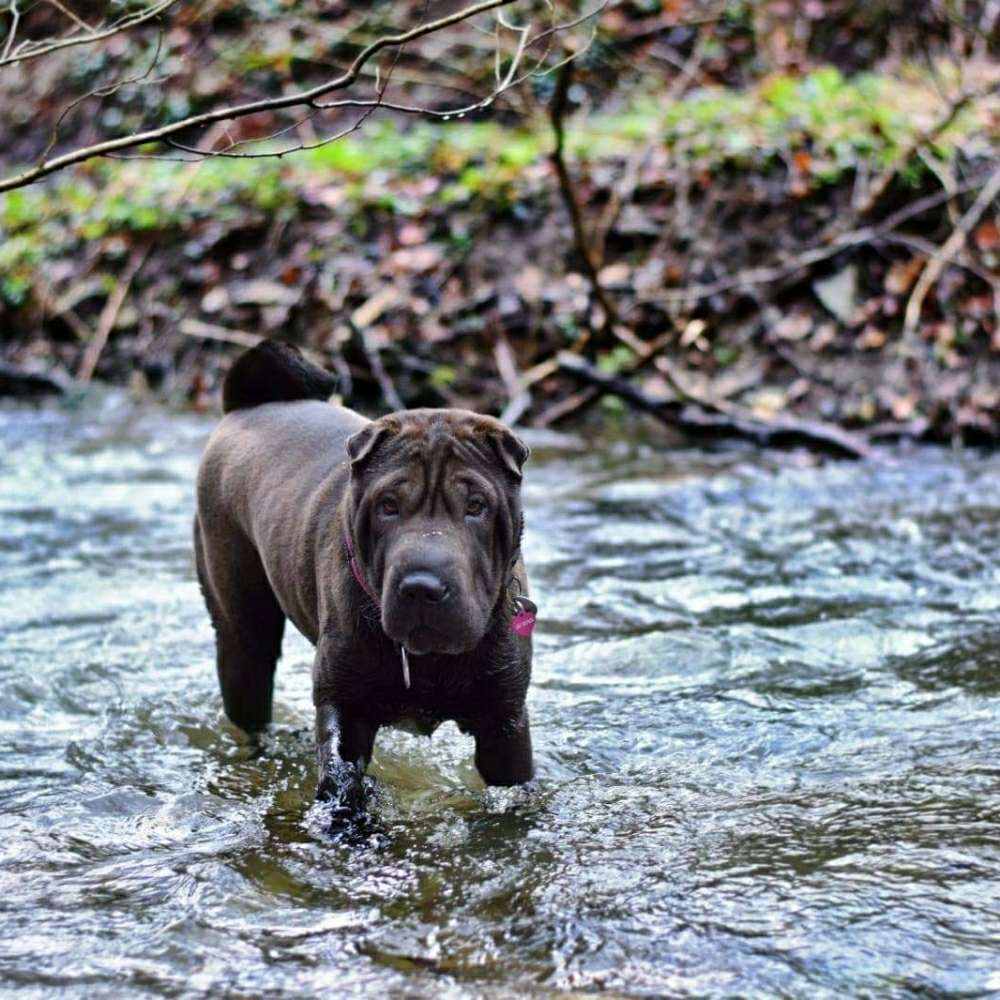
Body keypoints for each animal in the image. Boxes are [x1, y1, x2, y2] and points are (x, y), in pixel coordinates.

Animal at [197, 344, 540, 820]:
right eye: (388, 506)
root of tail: (246, 405)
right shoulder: (345, 706)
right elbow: (341, 783)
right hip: (242, 629)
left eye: (476, 506)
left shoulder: (504, 723)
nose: (422, 586)